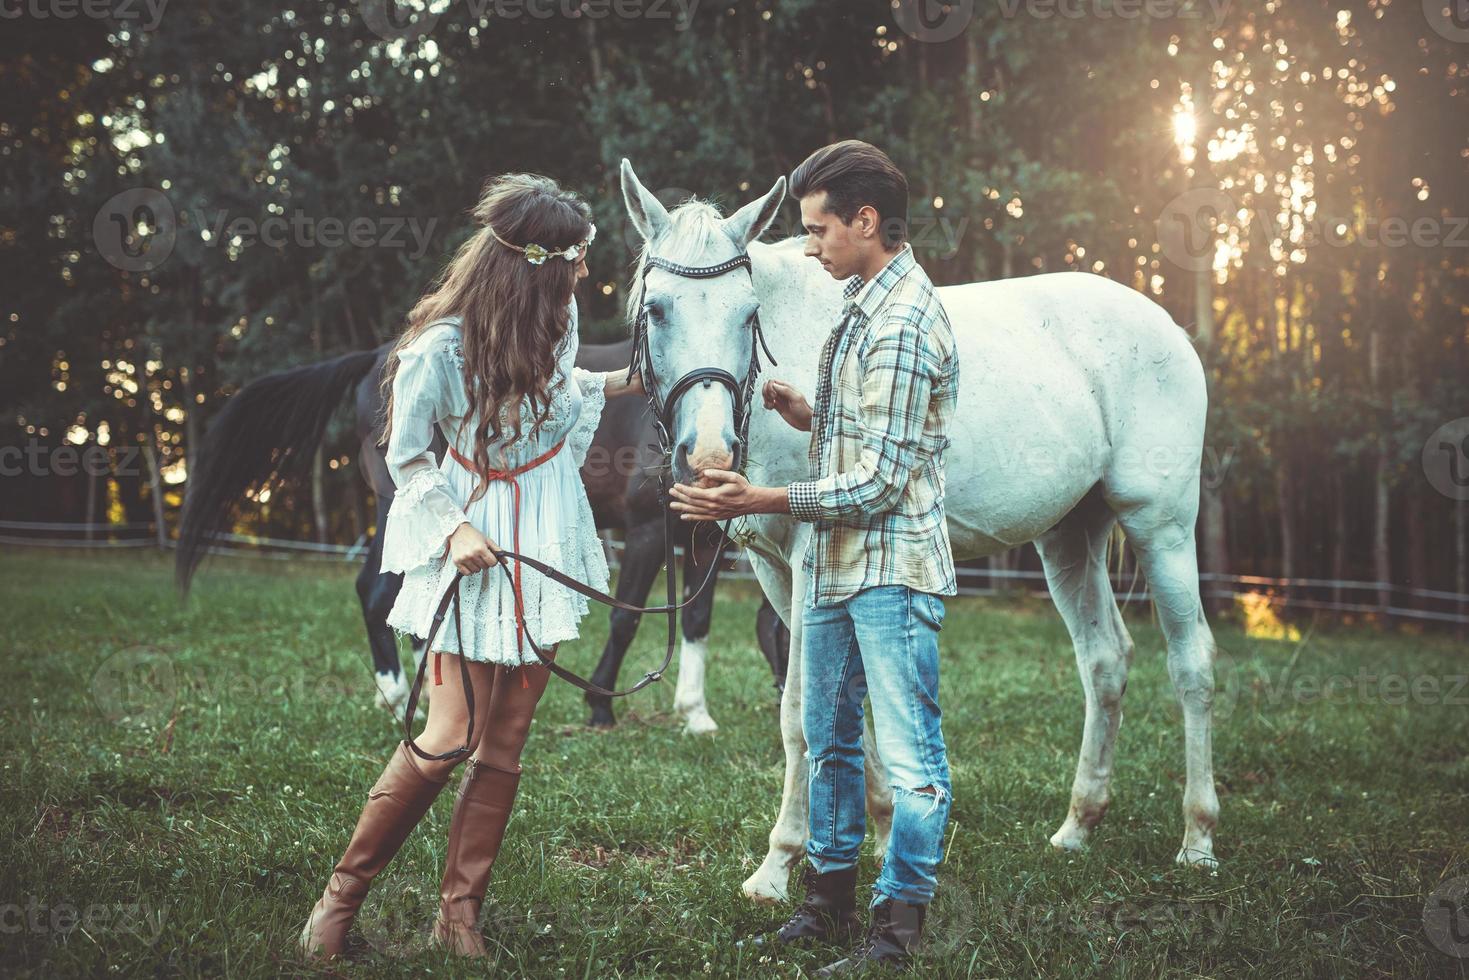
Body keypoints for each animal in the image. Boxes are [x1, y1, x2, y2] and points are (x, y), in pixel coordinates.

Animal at [176, 337, 793, 728]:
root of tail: (378, 357)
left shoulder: (705, 537)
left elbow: (696, 619)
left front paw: (696, 715)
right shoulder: (644, 533)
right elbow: (626, 621)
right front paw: (601, 707)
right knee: (382, 593)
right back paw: (402, 695)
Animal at [619, 160, 1228, 905]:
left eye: (747, 313)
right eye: (657, 310)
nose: (707, 458)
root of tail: (1165, 325)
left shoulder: (808, 556)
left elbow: (800, 712)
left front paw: (778, 865)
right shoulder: (778, 568)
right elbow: (839, 704)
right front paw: (880, 831)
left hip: (1160, 525)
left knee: (1191, 663)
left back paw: (1197, 839)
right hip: (1067, 537)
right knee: (1105, 660)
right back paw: (1077, 827)